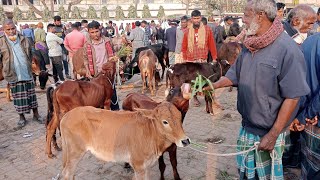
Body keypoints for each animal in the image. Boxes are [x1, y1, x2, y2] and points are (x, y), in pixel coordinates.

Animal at [60, 102, 190, 180]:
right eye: (165, 122)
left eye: (180, 118)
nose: (185, 141)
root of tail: (66, 116)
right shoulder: (138, 165)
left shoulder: (145, 166)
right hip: (75, 152)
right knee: (67, 173)